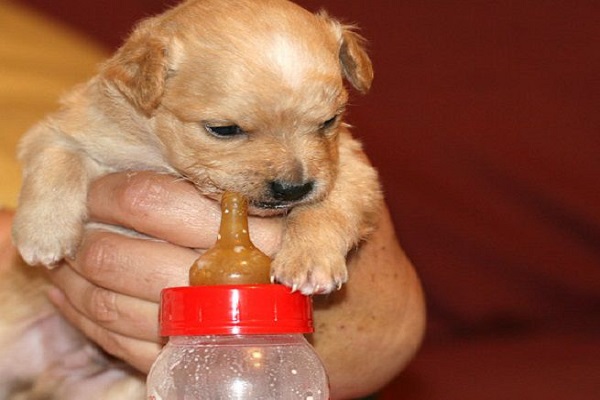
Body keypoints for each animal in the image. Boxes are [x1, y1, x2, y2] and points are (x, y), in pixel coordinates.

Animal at [3, 0, 380, 396]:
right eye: (224, 129)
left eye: (329, 122)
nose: (293, 188)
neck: (163, 158)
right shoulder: (64, 129)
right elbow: (58, 160)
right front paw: (43, 235)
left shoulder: (351, 170)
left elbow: (326, 208)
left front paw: (309, 260)